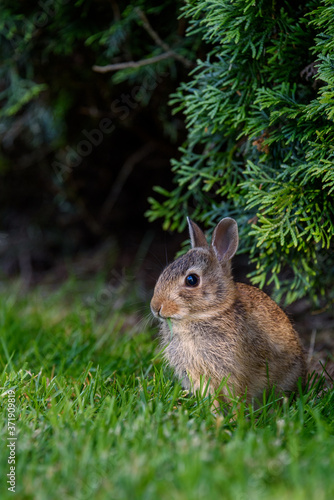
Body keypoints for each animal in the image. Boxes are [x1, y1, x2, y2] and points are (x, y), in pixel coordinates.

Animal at [150, 217, 306, 404]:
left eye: (191, 280)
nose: (155, 307)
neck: (200, 316)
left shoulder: (231, 371)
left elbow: (234, 396)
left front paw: (234, 412)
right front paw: (212, 411)